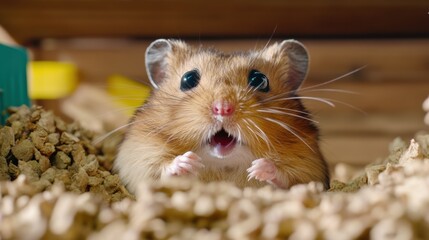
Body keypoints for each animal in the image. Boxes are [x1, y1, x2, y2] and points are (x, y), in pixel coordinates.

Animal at [113, 39, 328, 193]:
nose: (223, 109)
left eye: (260, 80)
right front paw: (188, 162)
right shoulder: (138, 156)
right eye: (188, 79)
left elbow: (290, 179)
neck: (223, 164)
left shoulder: (310, 168)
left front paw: (259, 167)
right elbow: (157, 171)